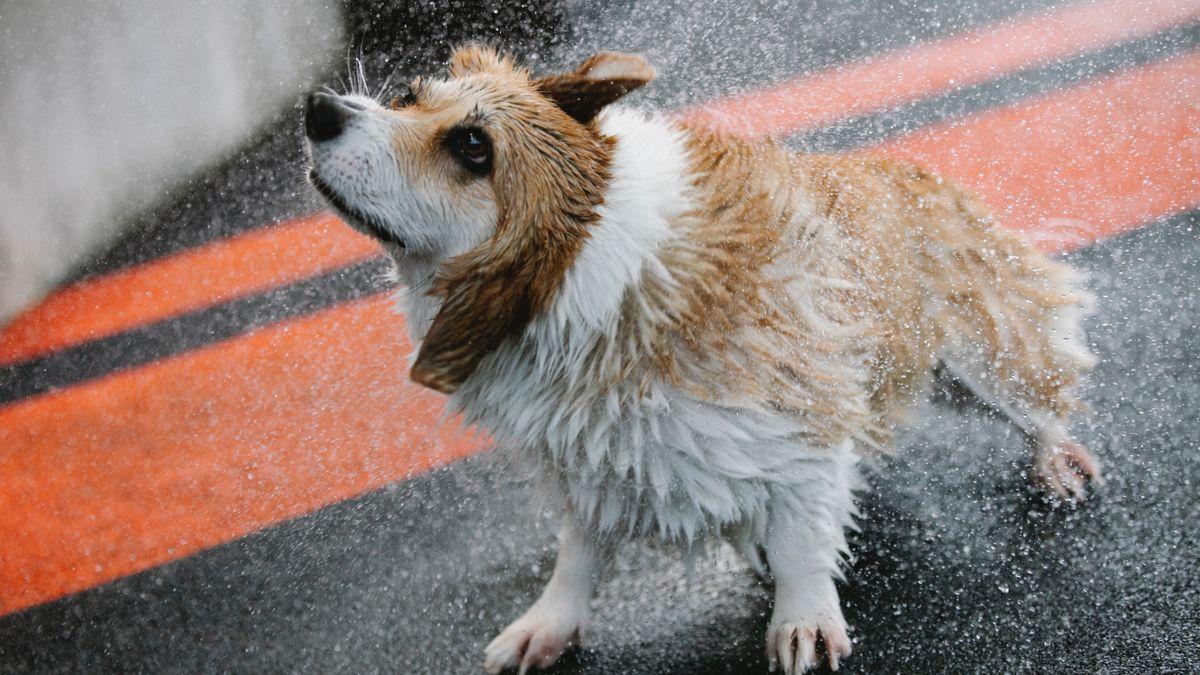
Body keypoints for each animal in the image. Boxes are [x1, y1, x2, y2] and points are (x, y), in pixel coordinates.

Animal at [304, 44, 1099, 667]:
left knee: (1041, 398)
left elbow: (804, 530)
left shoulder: (801, 409)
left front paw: (803, 618)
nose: (319, 109)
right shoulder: (586, 458)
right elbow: (578, 551)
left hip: (978, 363)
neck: (582, 277)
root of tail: (912, 169)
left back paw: (1058, 459)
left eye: (474, 148)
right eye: (409, 96)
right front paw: (548, 623)